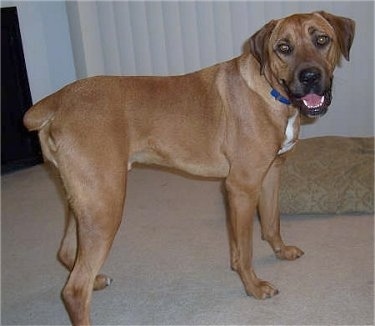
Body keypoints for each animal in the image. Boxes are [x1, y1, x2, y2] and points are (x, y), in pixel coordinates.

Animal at [23, 11, 356, 324]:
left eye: (322, 40)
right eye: (283, 48)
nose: (310, 76)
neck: (272, 92)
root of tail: (58, 101)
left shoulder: (271, 174)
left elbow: (270, 223)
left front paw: (279, 252)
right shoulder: (242, 187)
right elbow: (246, 248)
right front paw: (252, 286)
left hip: (85, 202)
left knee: (67, 253)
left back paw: (97, 279)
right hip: (106, 205)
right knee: (74, 290)